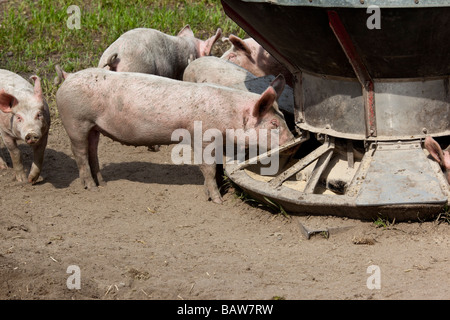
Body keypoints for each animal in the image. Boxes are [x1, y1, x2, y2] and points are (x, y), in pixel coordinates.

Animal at [55, 66, 296, 204]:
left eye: (284, 117)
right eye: (274, 123)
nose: (293, 141)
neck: (229, 116)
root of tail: (67, 78)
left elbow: (216, 166)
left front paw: (214, 192)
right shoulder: (201, 137)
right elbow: (208, 168)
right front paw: (217, 201)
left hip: (94, 127)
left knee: (92, 151)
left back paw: (103, 184)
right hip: (75, 122)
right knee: (79, 154)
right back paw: (91, 187)